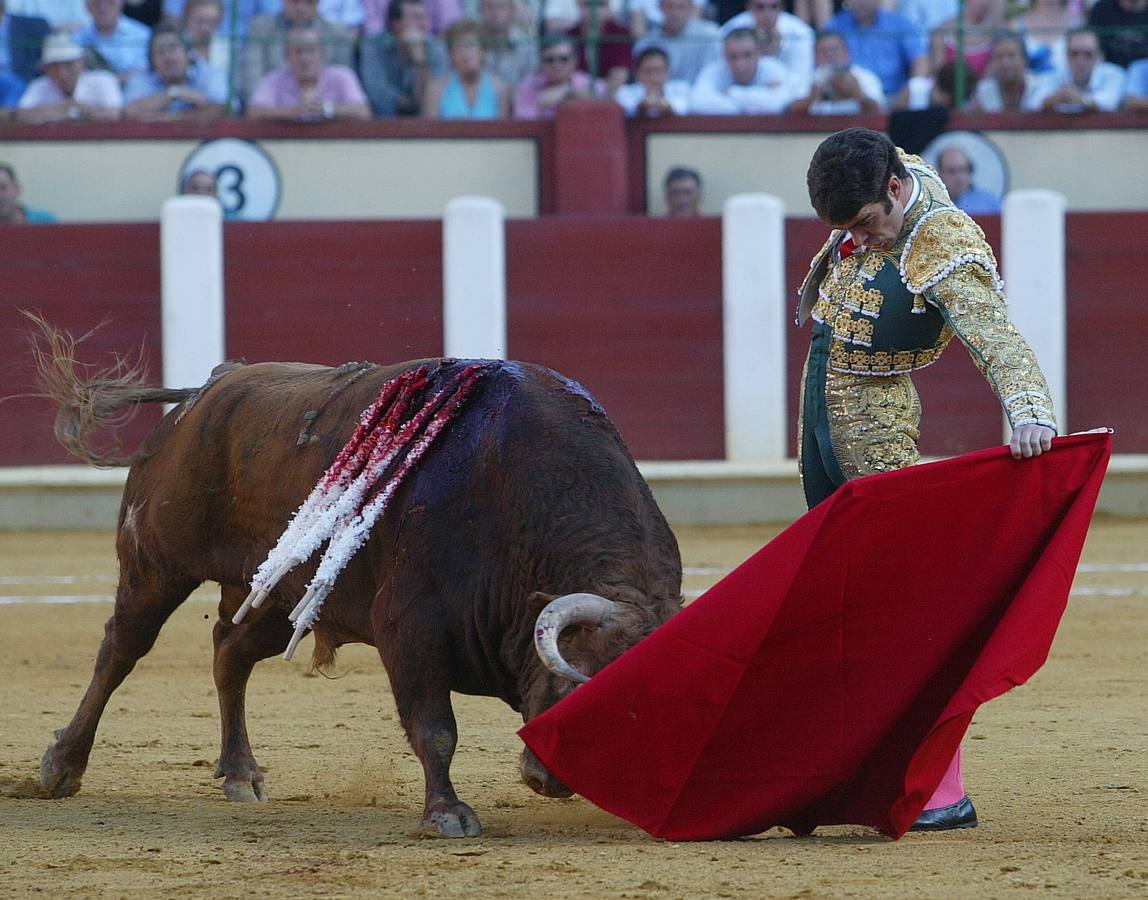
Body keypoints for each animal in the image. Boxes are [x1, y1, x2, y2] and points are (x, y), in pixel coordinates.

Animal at [24, 319, 679, 835]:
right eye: (580, 686)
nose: (554, 780)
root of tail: (211, 388)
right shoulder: (409, 628)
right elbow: (435, 727)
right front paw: (447, 814)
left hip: (277, 595)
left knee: (230, 652)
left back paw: (241, 775)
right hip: (155, 562)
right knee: (121, 649)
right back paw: (61, 768)